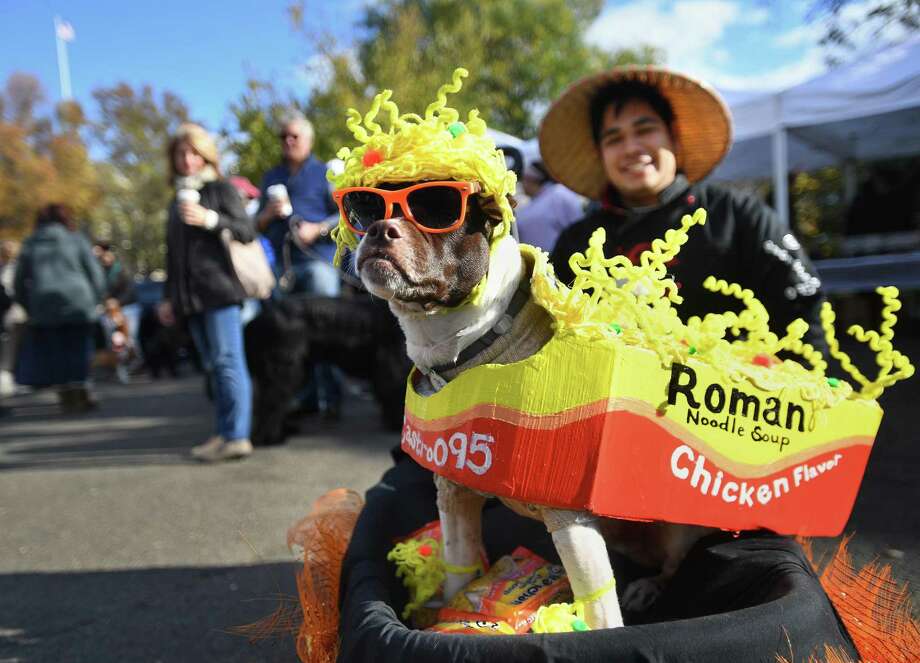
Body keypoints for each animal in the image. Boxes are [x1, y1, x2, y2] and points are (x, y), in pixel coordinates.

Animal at [244, 294, 410, 446]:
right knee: (271, 402)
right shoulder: (394, 367)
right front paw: (398, 424)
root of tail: (259, 319)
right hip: (284, 369)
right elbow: (396, 394)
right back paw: (270, 438)